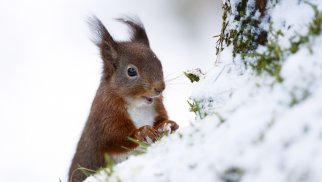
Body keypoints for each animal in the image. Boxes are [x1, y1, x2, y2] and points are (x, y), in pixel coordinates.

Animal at [68, 16, 179, 181]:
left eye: (160, 63)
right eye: (131, 71)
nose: (160, 88)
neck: (138, 105)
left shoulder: (157, 107)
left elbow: (161, 119)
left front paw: (168, 124)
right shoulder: (106, 115)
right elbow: (114, 138)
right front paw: (143, 132)